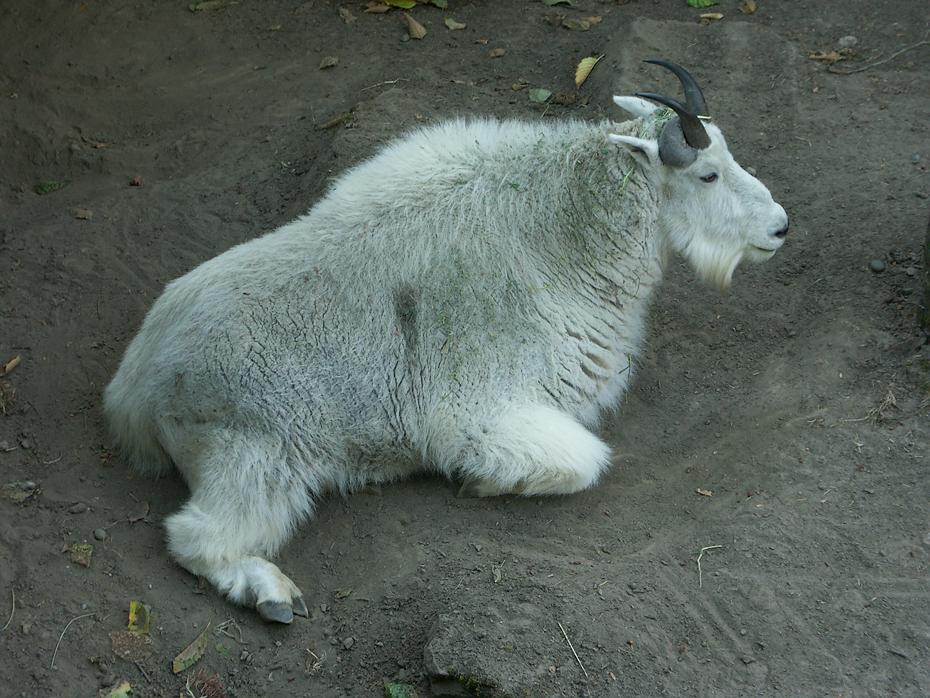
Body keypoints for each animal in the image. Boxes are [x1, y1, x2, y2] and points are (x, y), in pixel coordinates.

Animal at [104, 60, 789, 623]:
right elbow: (582, 462)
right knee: (197, 536)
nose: (779, 227)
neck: (561, 230)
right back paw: (268, 591)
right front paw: (479, 482)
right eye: (707, 174)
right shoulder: (479, 411)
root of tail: (134, 387)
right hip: (256, 452)